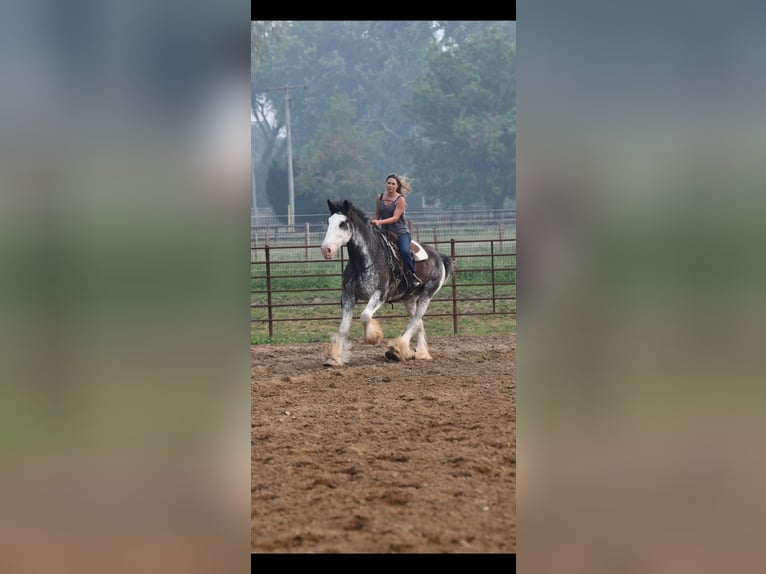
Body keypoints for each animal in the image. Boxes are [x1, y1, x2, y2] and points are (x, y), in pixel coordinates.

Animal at [320, 200, 452, 366]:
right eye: (328, 222)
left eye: (343, 223)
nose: (326, 250)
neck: (364, 262)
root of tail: (439, 256)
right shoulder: (348, 296)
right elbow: (343, 328)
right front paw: (334, 358)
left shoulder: (380, 294)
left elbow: (365, 316)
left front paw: (372, 337)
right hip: (409, 299)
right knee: (418, 322)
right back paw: (420, 353)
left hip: (427, 294)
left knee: (415, 321)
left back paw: (396, 351)